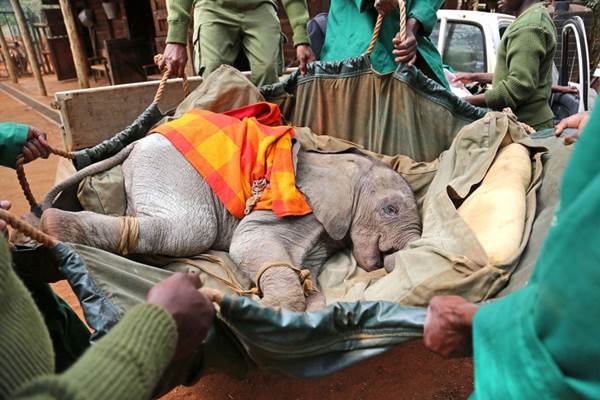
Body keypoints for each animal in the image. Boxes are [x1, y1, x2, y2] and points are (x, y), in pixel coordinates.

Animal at [42, 134, 420, 310]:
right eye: (389, 209)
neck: (340, 163)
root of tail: (137, 142)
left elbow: (303, 267)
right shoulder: (290, 196)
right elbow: (248, 242)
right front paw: (269, 307)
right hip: (170, 168)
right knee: (191, 229)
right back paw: (54, 225)